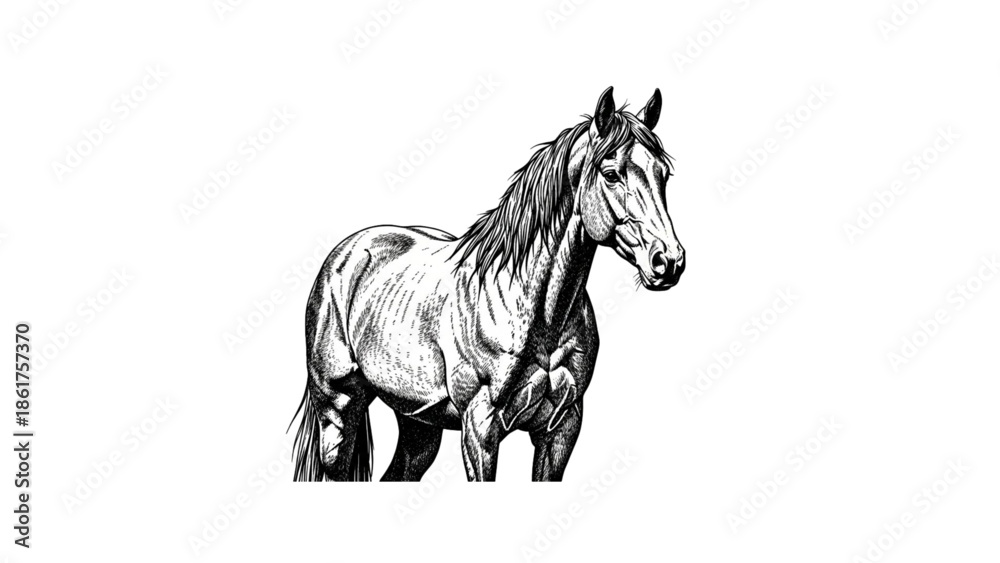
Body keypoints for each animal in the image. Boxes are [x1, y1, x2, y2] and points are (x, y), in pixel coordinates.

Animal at [290, 86, 685, 481]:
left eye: (663, 173)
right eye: (611, 173)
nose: (668, 260)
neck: (535, 310)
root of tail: (345, 254)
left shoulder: (561, 430)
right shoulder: (480, 428)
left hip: (419, 424)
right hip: (338, 410)